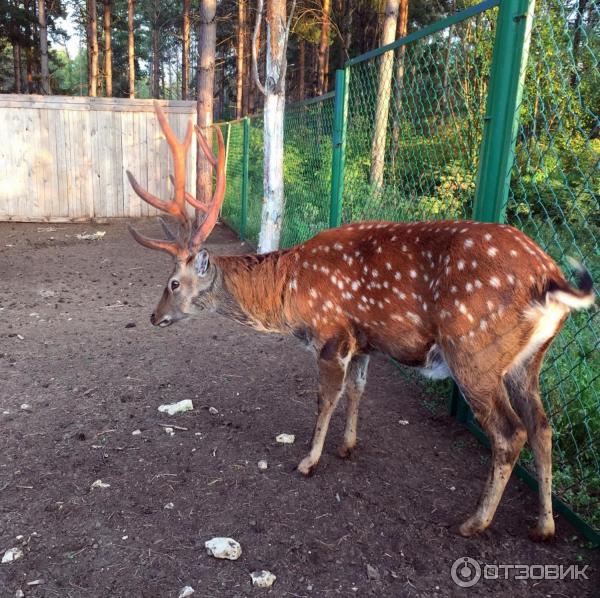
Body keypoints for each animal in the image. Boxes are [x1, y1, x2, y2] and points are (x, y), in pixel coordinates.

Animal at [127, 104, 596, 544]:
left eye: (173, 282)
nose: (153, 316)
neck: (287, 296)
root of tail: (550, 278)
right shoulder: (364, 341)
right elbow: (357, 390)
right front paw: (348, 446)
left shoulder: (330, 334)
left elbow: (326, 399)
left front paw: (308, 461)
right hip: (529, 360)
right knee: (542, 426)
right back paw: (544, 526)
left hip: (474, 351)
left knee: (510, 433)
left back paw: (474, 522)